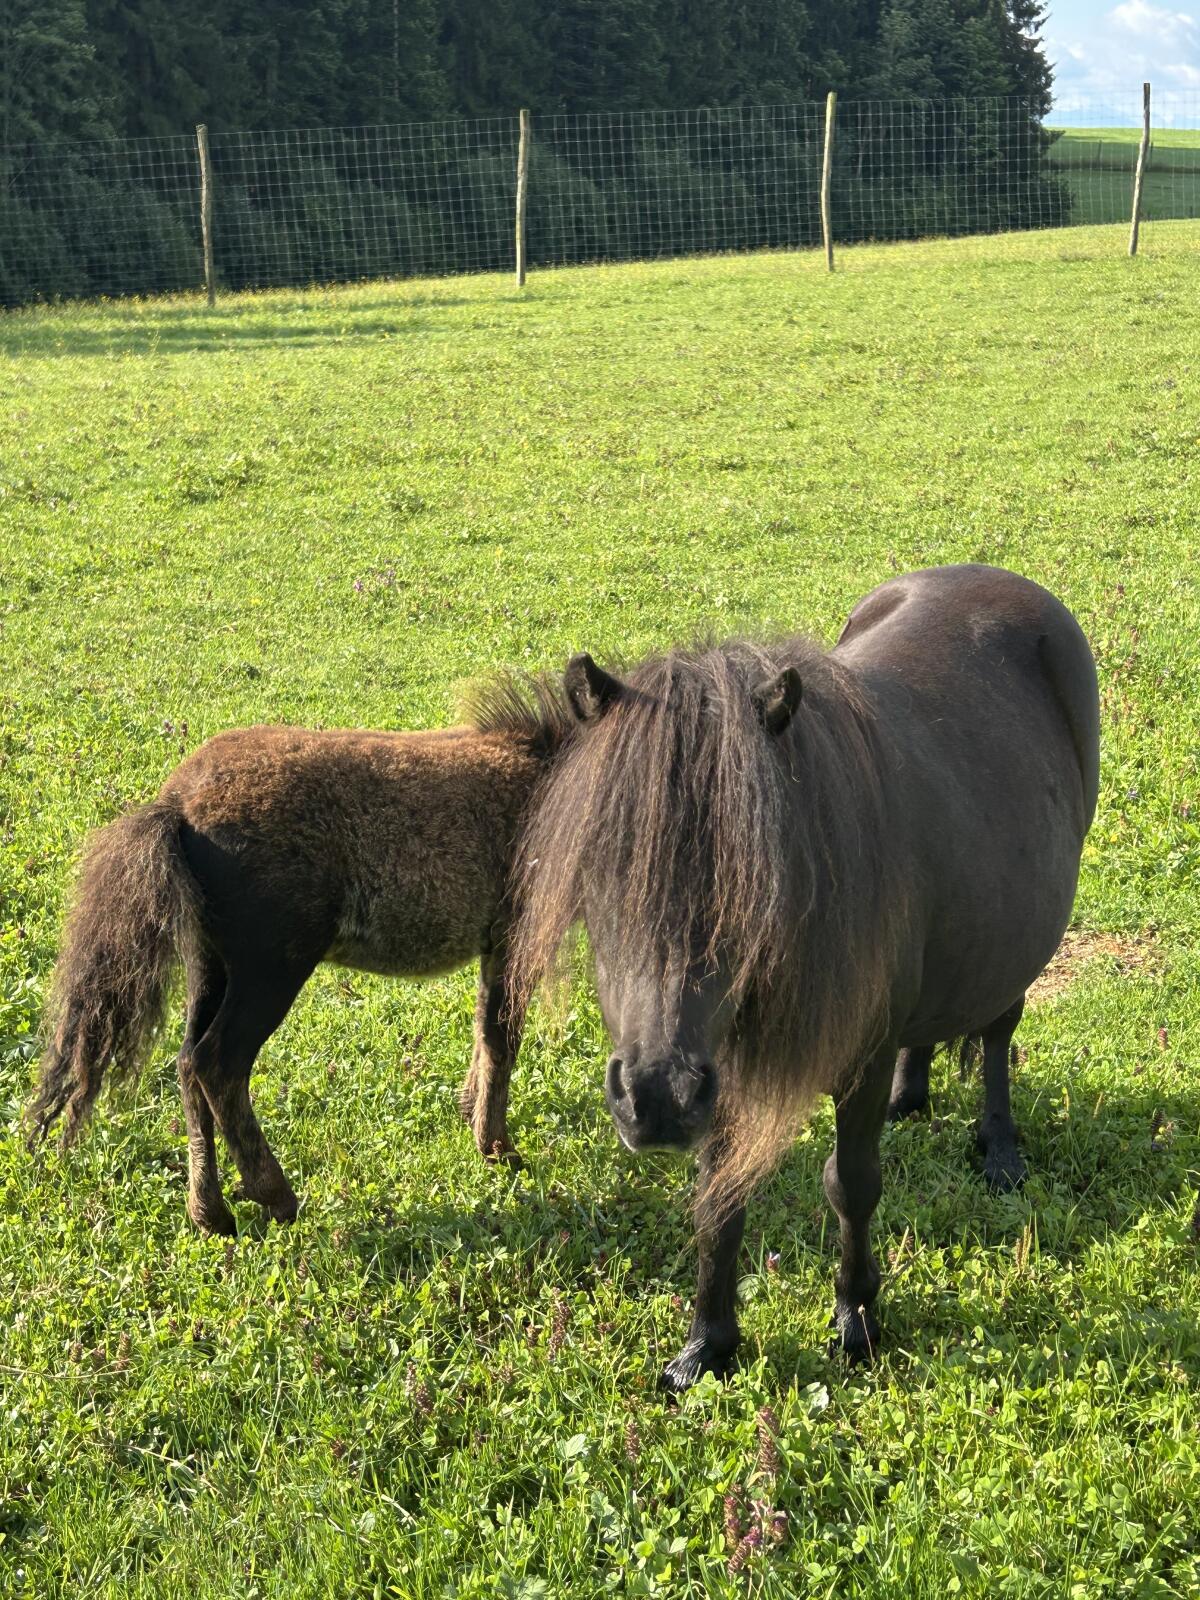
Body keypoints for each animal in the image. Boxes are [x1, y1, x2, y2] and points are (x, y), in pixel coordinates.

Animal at [28, 675, 573, 1236]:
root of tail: (177, 804)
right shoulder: (516, 939)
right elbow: (501, 1036)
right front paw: (498, 1150)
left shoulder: (495, 946)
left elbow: (484, 1032)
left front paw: (471, 1116)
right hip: (272, 968)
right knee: (215, 1063)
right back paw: (276, 1197)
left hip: (212, 966)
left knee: (185, 1063)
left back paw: (211, 1213)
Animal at [512, 564, 1099, 1392]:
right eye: (601, 867)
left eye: (753, 877)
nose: (655, 1100)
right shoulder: (721, 1066)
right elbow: (719, 1200)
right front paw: (708, 1343)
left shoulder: (849, 1062)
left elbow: (851, 1184)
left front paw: (856, 1318)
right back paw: (911, 1098)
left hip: (1019, 946)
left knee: (996, 1035)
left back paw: (1000, 1148)